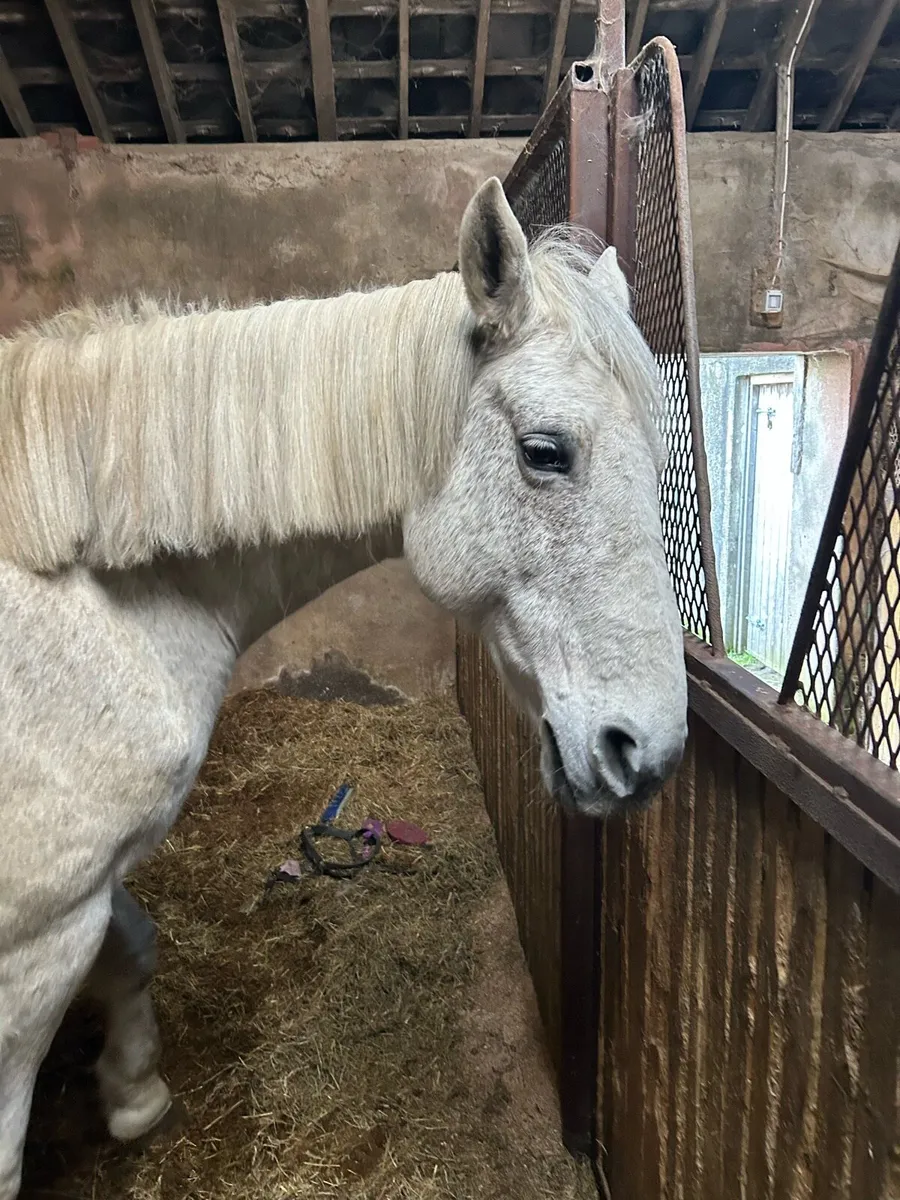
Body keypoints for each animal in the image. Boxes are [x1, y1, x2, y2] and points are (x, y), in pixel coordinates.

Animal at [0, 176, 687, 1198]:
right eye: (545, 451)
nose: (648, 751)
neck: (96, 588)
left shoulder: (85, 889)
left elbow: (136, 948)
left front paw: (134, 1094)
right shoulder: (36, 937)